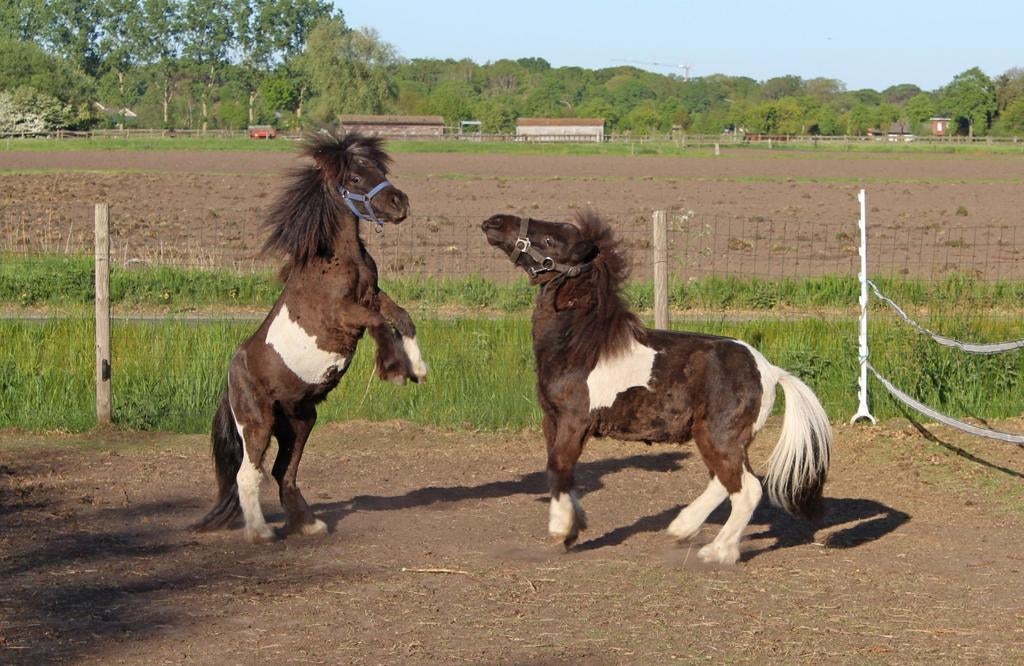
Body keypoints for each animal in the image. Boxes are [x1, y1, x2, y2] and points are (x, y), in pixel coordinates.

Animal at [193, 131, 428, 543]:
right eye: (355, 177)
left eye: (380, 170)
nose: (400, 203)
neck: (336, 259)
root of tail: (230, 381)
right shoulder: (343, 313)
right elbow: (380, 324)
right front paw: (394, 369)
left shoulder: (374, 296)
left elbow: (403, 317)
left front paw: (417, 368)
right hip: (257, 423)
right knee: (248, 475)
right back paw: (261, 532)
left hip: (300, 422)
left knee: (282, 473)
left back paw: (308, 524)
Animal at [481, 211, 832, 564]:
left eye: (551, 239)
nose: (494, 221)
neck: (581, 346)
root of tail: (770, 371)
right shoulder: (551, 421)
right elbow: (560, 474)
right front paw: (571, 524)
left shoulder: (573, 422)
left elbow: (558, 467)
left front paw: (563, 531)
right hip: (715, 438)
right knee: (724, 482)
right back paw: (681, 528)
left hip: (721, 437)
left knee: (747, 489)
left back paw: (716, 552)